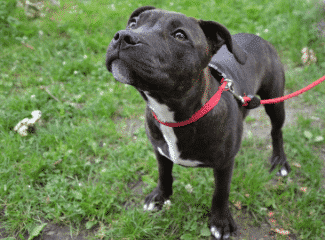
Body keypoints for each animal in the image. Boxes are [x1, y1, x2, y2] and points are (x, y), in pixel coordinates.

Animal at [105, 6, 290, 240]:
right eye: (134, 23)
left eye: (180, 35)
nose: (123, 36)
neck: (173, 113)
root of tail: (257, 37)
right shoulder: (160, 151)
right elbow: (164, 174)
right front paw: (160, 197)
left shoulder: (224, 163)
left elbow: (221, 192)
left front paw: (220, 223)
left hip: (275, 100)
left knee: (276, 131)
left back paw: (280, 162)